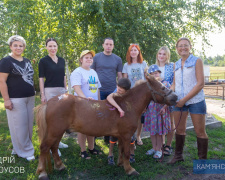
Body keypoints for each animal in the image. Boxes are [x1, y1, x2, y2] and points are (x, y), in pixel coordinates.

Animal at [35, 74, 178, 179]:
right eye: (162, 87)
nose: (176, 97)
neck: (127, 106)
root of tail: (50, 102)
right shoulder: (126, 135)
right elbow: (126, 152)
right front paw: (130, 170)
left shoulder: (121, 136)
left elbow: (121, 150)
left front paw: (121, 164)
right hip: (55, 131)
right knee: (44, 147)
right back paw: (42, 173)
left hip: (58, 132)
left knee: (53, 147)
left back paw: (60, 166)